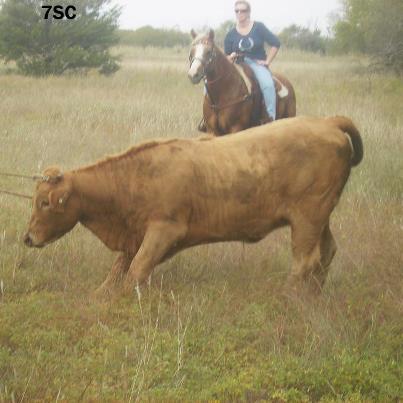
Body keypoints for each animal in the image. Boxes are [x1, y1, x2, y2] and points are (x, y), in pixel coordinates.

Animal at [23, 117, 364, 296]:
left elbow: (136, 269)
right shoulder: (136, 234)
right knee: (326, 253)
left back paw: (288, 296)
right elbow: (120, 268)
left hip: (307, 219)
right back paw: (313, 295)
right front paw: (102, 295)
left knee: (306, 260)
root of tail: (326, 121)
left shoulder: (163, 230)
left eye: (44, 202)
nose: (28, 238)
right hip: (319, 219)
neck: (133, 177)